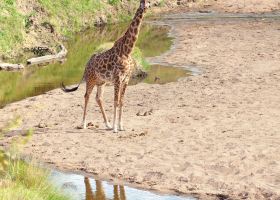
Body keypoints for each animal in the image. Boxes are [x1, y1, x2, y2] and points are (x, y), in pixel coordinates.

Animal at [62, 0, 151, 133]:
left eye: (149, 2)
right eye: (143, 2)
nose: (146, 7)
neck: (127, 51)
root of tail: (86, 64)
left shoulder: (126, 79)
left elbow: (121, 101)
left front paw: (120, 126)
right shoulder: (117, 78)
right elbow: (115, 102)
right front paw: (115, 128)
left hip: (101, 82)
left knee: (98, 98)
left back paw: (107, 124)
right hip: (91, 80)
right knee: (87, 96)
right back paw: (83, 124)